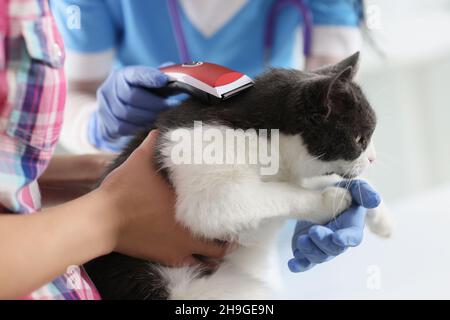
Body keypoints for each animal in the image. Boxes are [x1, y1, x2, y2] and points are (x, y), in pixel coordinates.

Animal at [83, 52, 390, 300]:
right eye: (360, 139)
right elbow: (277, 194)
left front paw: (378, 213)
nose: (374, 158)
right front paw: (332, 200)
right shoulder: (208, 166)